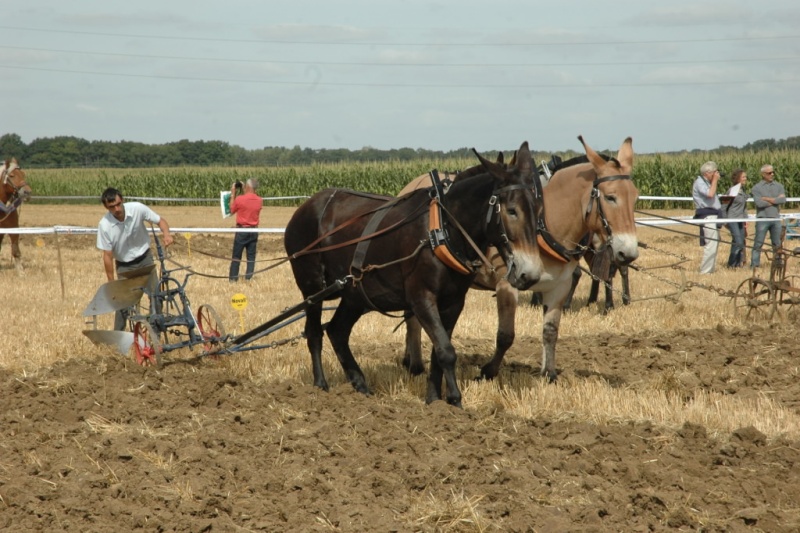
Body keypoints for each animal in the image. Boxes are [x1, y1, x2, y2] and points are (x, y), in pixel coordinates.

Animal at [284, 141, 540, 408]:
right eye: (511, 211)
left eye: (537, 207)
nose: (529, 273)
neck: (442, 230)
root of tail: (306, 206)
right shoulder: (421, 298)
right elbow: (446, 351)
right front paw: (455, 401)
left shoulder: (453, 302)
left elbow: (439, 350)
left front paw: (435, 400)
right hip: (312, 287)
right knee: (314, 332)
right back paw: (320, 386)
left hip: (354, 294)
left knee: (337, 331)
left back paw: (360, 385)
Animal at [406, 135, 636, 380]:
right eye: (611, 197)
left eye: (635, 198)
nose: (629, 252)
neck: (544, 225)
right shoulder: (507, 284)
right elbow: (506, 335)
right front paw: (488, 371)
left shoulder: (559, 286)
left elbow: (550, 331)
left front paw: (549, 373)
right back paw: (415, 363)